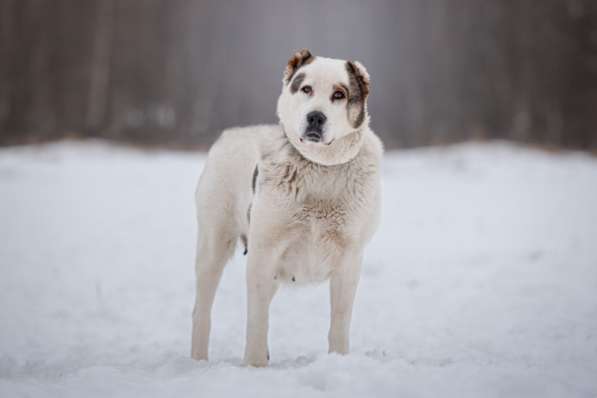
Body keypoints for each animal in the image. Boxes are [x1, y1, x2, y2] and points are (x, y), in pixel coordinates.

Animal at [191, 48, 382, 366]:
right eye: (306, 89)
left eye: (339, 94)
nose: (315, 117)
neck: (320, 168)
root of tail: (230, 134)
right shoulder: (264, 252)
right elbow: (257, 321)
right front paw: (254, 366)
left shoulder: (349, 259)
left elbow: (339, 323)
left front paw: (338, 360)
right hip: (214, 245)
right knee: (202, 310)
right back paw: (198, 359)